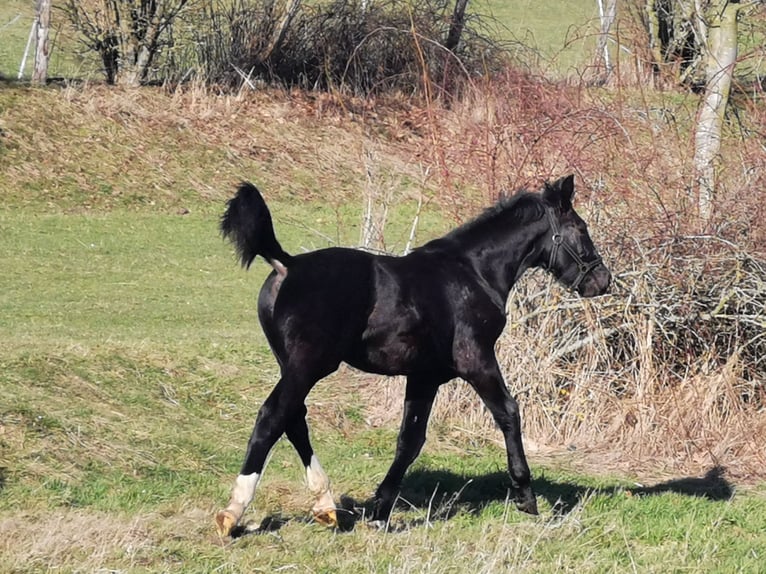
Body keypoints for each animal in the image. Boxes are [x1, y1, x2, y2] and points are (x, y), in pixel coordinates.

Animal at [216, 176, 612, 540]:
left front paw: (380, 511)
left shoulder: (425, 375)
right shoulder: (476, 360)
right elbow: (508, 413)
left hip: (293, 365)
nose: (602, 280)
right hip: (308, 366)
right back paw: (234, 512)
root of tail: (287, 264)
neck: (473, 273)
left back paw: (325, 507)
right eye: (581, 229)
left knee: (294, 419)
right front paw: (525, 496)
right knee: (273, 417)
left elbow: (410, 440)